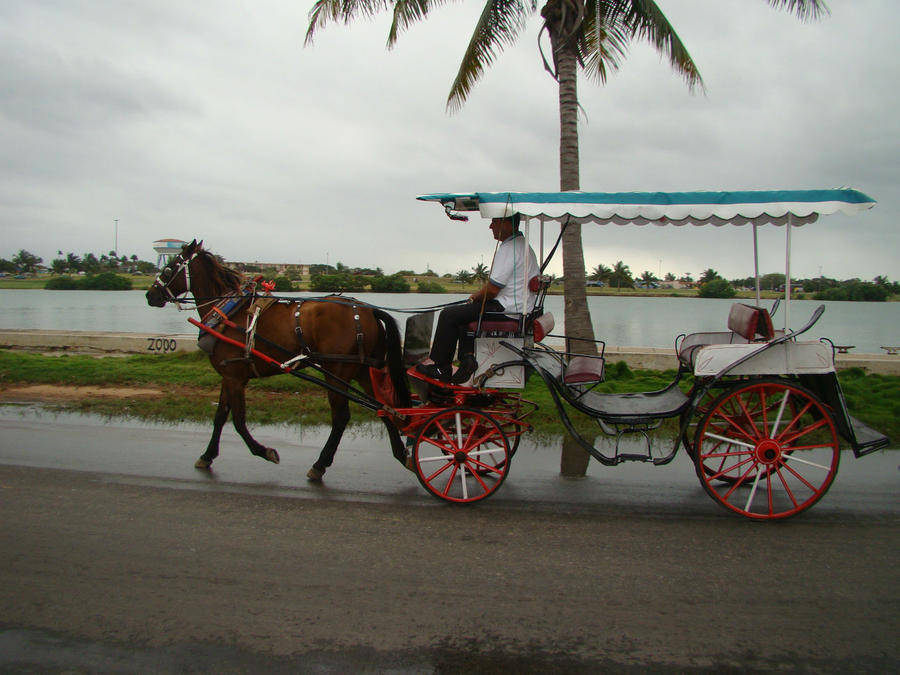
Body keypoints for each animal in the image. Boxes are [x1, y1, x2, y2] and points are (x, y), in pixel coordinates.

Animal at [145, 240, 412, 478]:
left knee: (341, 417)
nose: (150, 295)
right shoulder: (229, 375)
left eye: (169, 268)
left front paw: (264, 451)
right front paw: (207, 455)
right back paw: (401, 454)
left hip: (337, 370)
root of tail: (367, 310)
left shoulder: (234, 376)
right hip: (363, 369)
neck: (228, 313)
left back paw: (320, 464)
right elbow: (220, 416)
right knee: (385, 408)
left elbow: (238, 421)